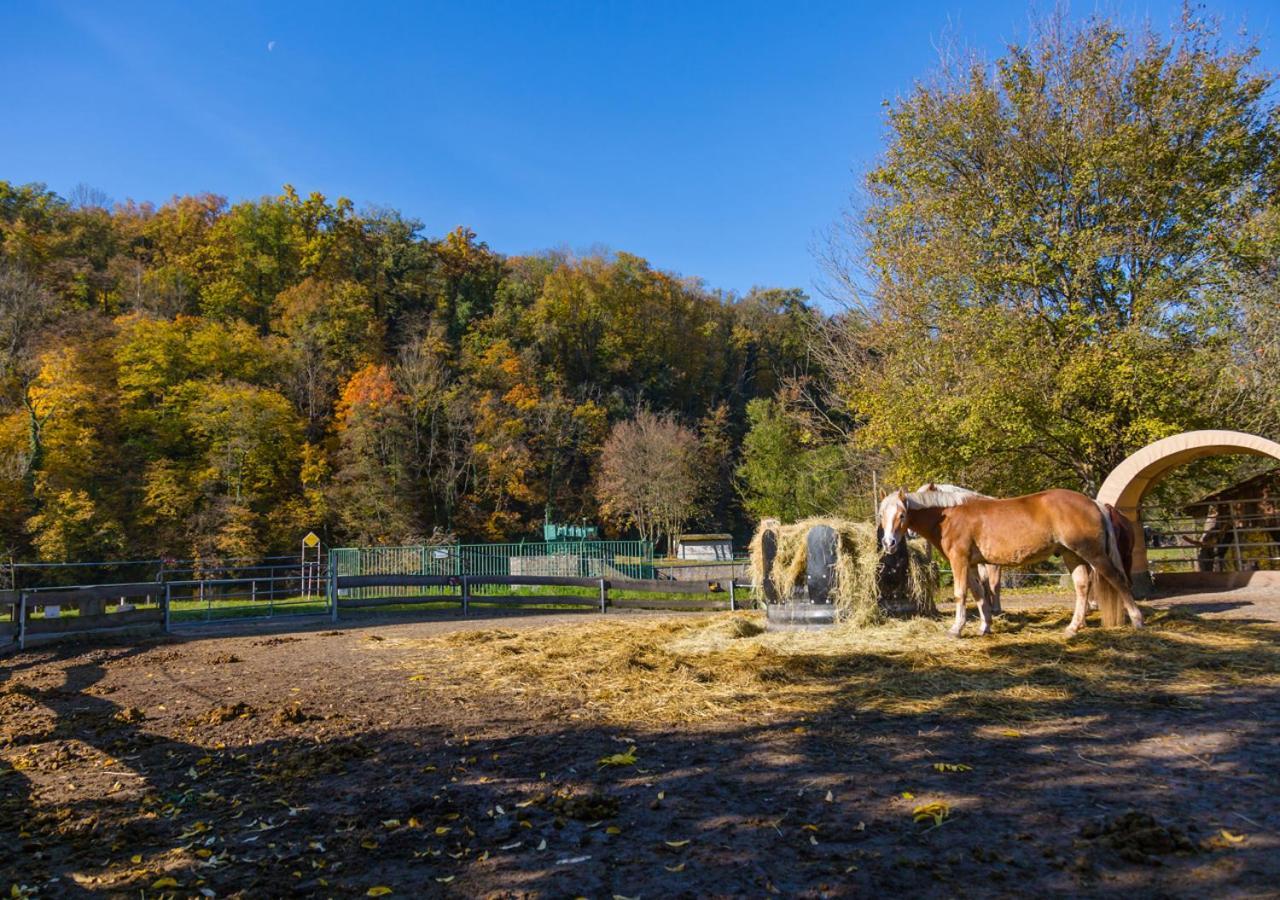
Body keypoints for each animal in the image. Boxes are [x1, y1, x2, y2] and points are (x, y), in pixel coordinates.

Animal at [880, 489, 1141, 637]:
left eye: (902, 515)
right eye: (882, 515)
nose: (889, 542)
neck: (949, 516)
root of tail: (1095, 503)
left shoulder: (959, 561)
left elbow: (960, 594)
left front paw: (956, 629)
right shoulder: (972, 564)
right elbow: (979, 594)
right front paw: (984, 627)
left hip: (1092, 553)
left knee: (1118, 580)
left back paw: (1137, 620)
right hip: (1071, 554)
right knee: (1082, 586)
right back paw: (1073, 628)